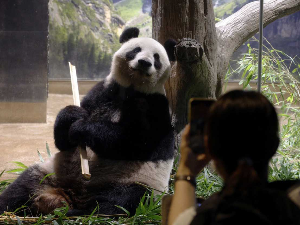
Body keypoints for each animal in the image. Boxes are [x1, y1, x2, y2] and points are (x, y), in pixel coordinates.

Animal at [0, 27, 177, 216]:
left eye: (156, 58)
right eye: (136, 50)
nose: (144, 62)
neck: (130, 89)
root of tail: (72, 195)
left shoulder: (154, 106)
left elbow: (134, 142)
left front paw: (82, 128)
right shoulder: (102, 93)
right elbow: (64, 142)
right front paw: (71, 115)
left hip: (136, 181)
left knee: (123, 200)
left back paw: (81, 212)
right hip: (49, 173)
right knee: (21, 188)